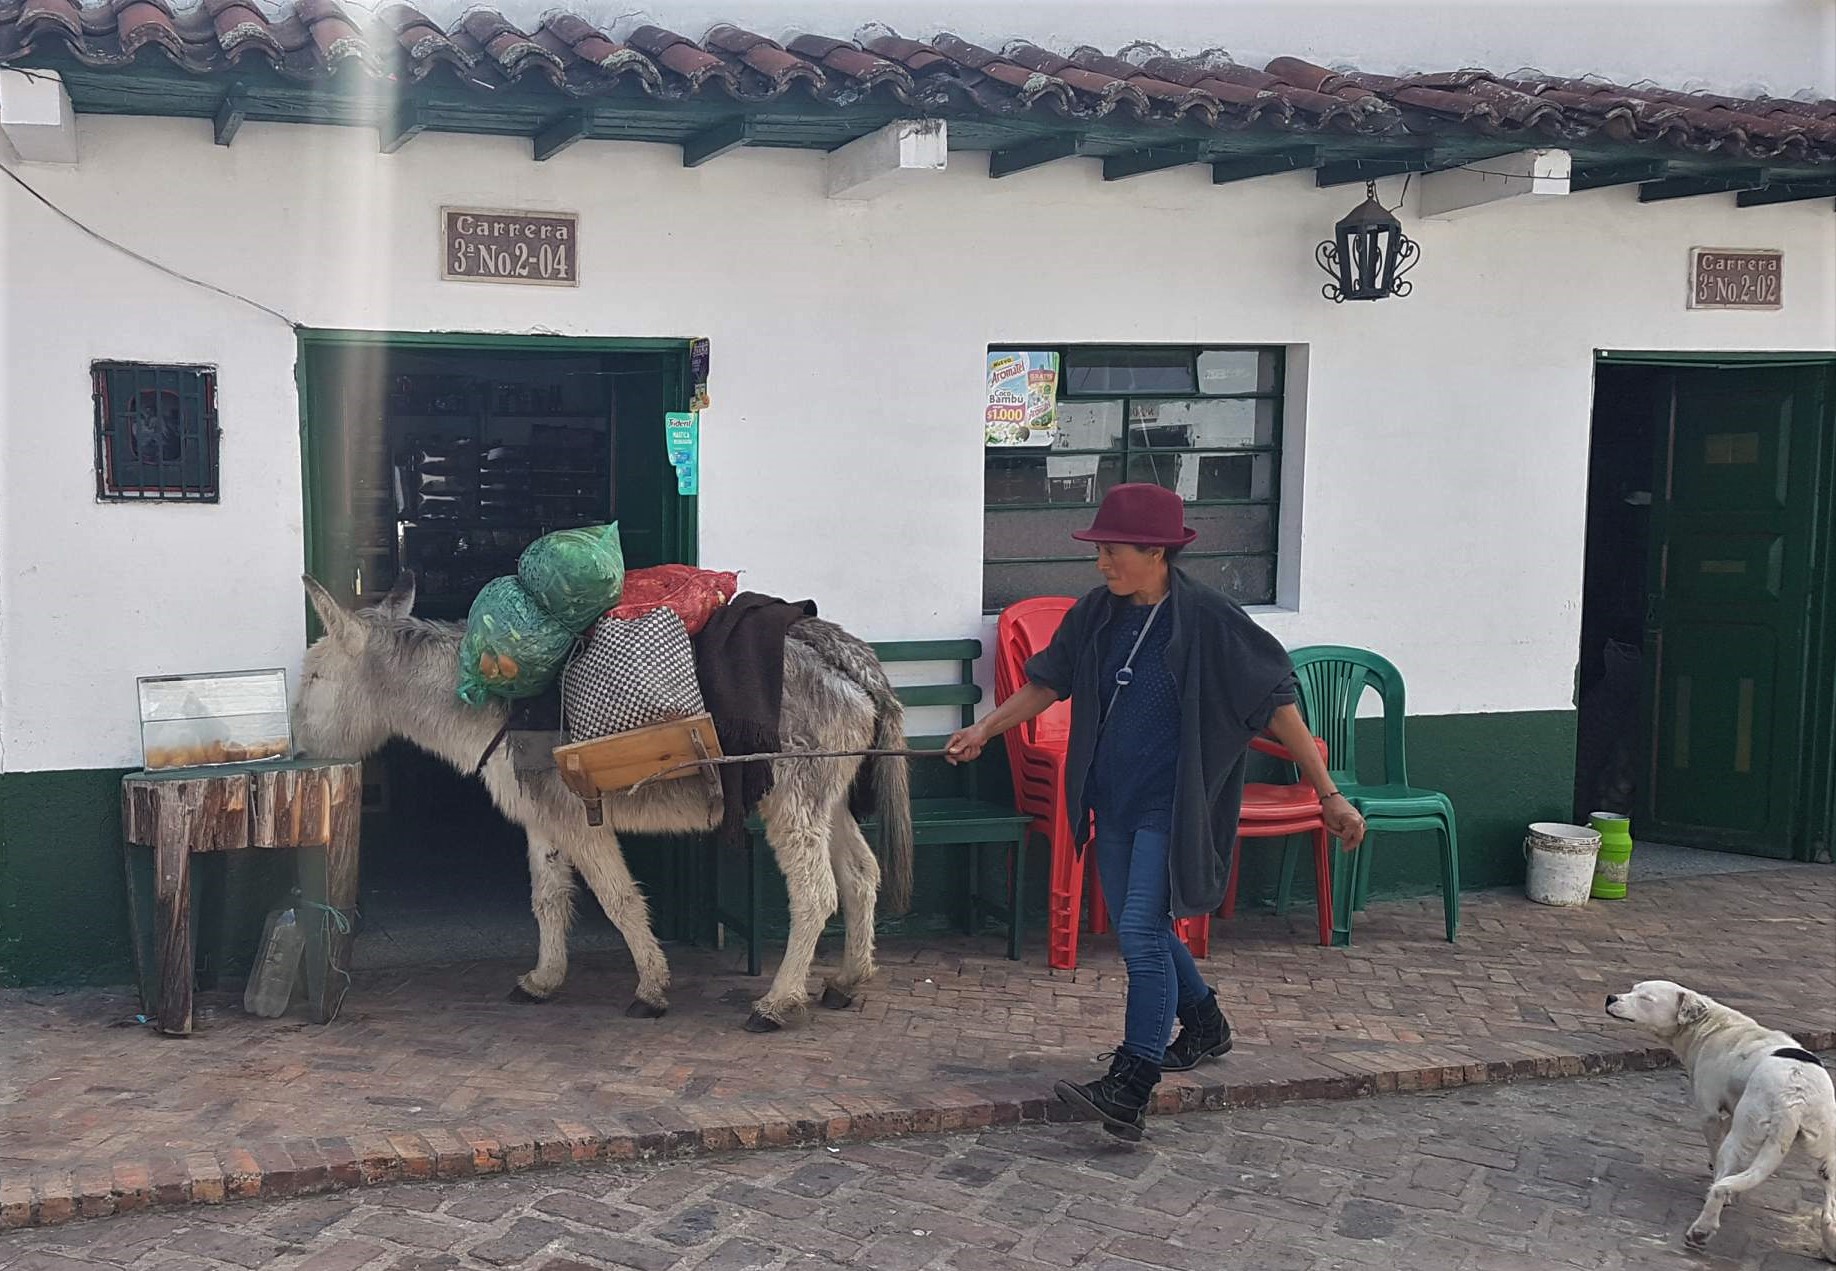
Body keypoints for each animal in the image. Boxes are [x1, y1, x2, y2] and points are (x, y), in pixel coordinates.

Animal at [295, 572, 913, 1032]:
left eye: (315, 676)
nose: (298, 750)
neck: (494, 701)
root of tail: (841, 650)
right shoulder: (542, 820)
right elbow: (548, 899)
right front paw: (543, 980)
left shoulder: (578, 819)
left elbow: (619, 900)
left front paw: (652, 989)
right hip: (828, 798)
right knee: (860, 874)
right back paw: (848, 981)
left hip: (791, 797)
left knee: (815, 893)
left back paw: (778, 1003)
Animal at [1606, 980, 1836, 1261]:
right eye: (1633, 989)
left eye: (1646, 999)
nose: (1610, 997)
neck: (1709, 1024)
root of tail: (1795, 1095)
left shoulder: (1709, 1114)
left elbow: (1715, 1152)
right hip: (1825, 1150)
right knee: (1829, 1213)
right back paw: (1830, 1249)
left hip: (1744, 1131)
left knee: (1722, 1184)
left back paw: (1702, 1228)